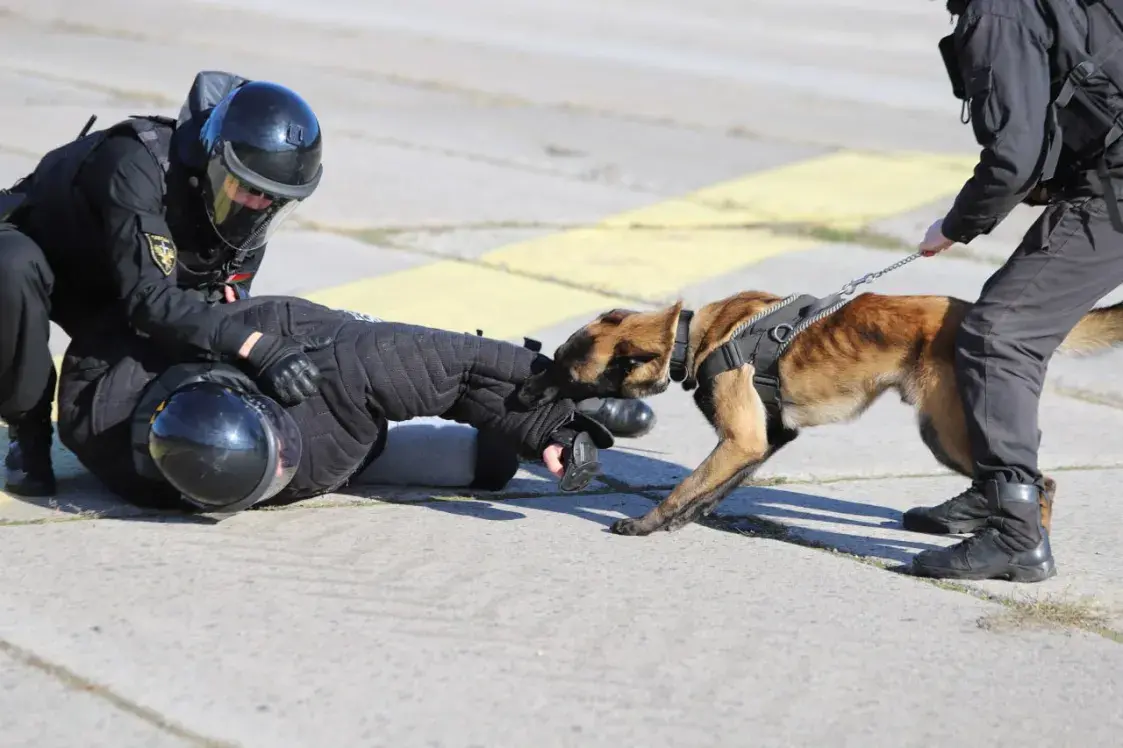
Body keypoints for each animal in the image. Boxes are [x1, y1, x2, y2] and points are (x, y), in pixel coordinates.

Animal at [514, 289, 1123, 536]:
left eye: (565, 374)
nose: (519, 393)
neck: (696, 337)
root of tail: (974, 312)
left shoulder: (742, 439)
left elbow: (684, 485)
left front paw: (646, 525)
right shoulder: (765, 439)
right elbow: (714, 488)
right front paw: (687, 521)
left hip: (945, 433)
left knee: (1039, 480)